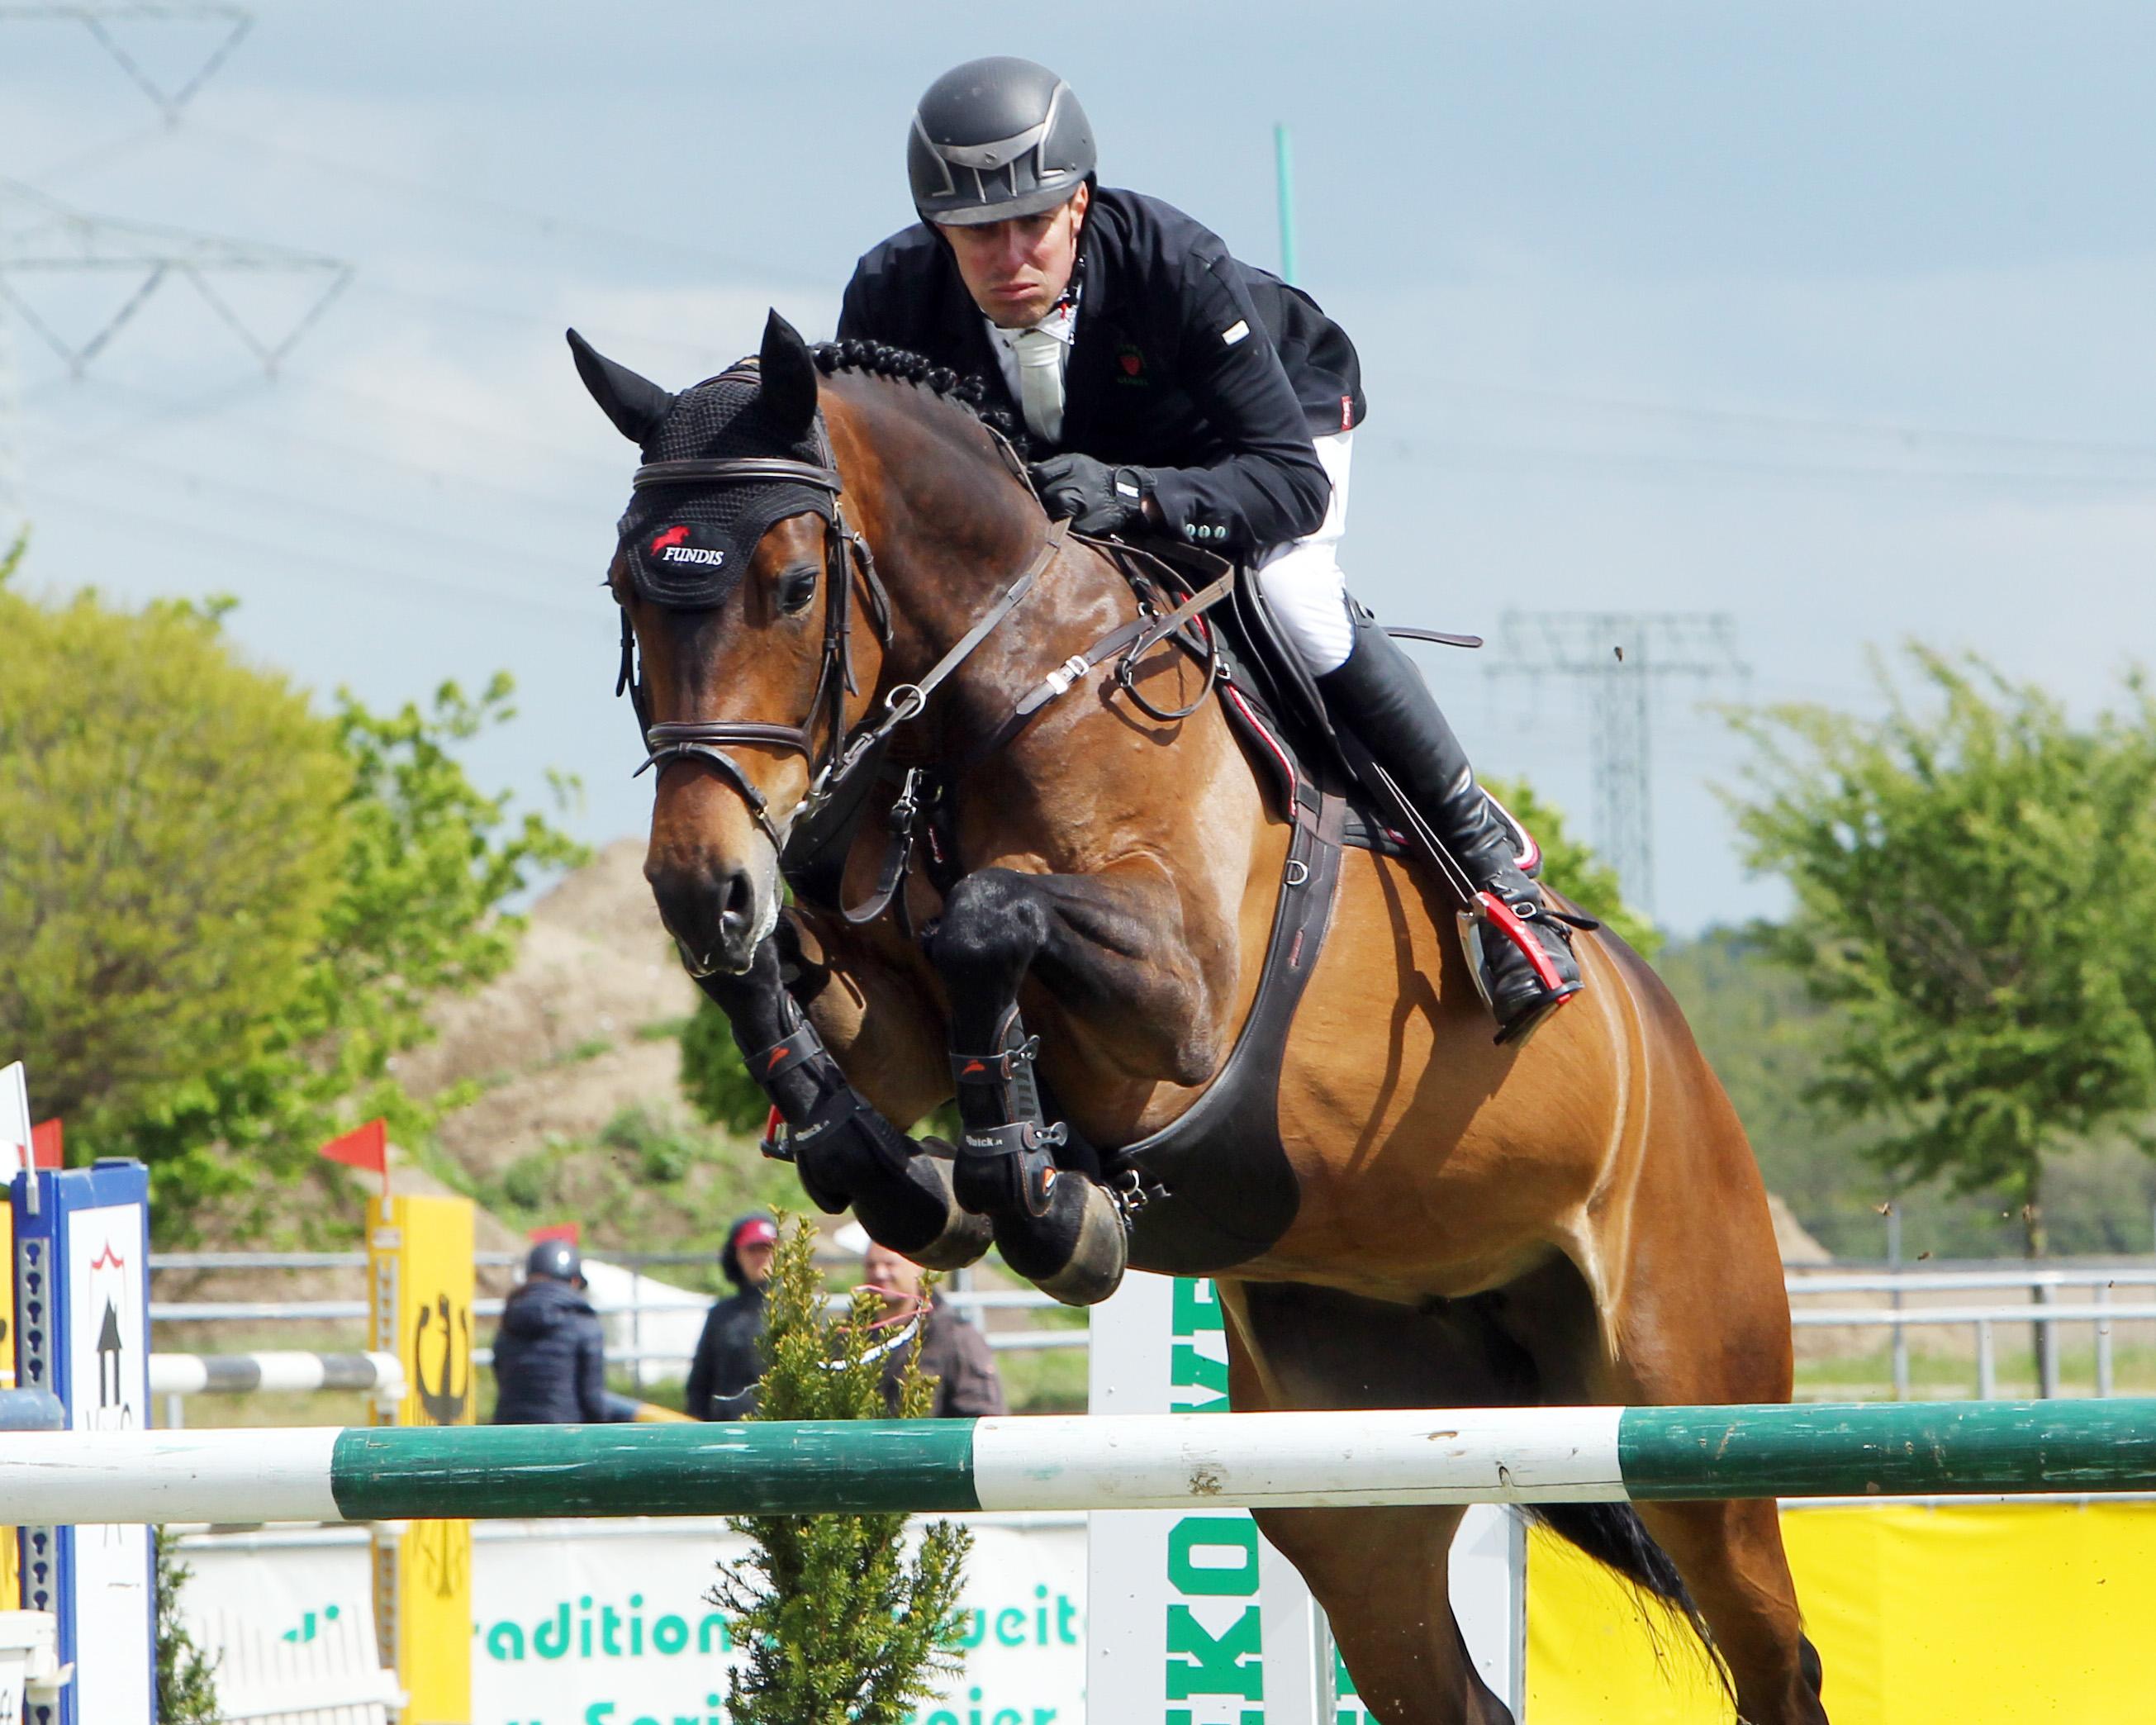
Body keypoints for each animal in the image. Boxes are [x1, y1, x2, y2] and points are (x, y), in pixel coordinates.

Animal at [582, 312, 1828, 1725]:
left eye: (791, 587)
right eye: (627, 595)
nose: (702, 881)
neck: (1007, 684)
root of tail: (1676, 1058)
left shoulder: (1179, 999)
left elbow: (989, 921)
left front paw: (1037, 1196)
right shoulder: (881, 1011)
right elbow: (793, 997)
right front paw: (902, 1172)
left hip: (1689, 1412)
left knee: (1773, 1655)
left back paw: (1515, 930)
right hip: (1361, 1467)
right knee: (1441, 1676)